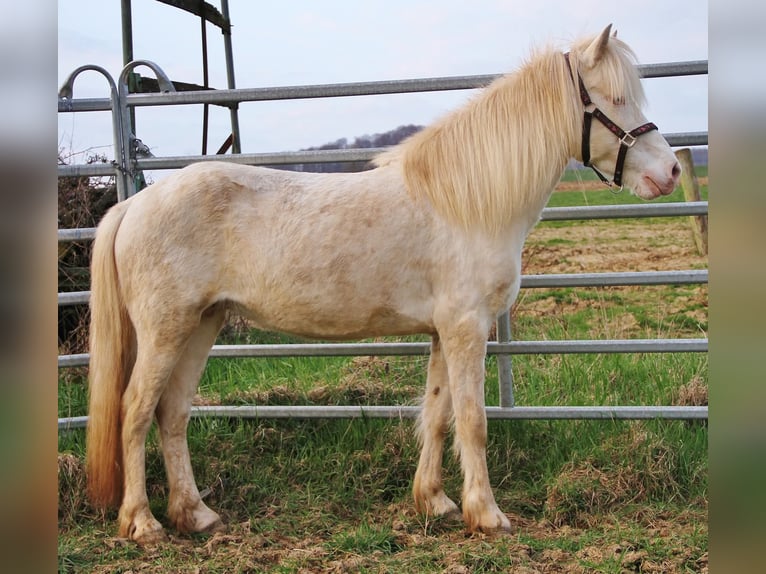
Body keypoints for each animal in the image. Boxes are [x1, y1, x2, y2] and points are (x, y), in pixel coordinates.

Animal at [86, 25, 681, 545]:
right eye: (614, 99)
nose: (672, 172)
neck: (465, 203)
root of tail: (135, 204)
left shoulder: (444, 332)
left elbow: (437, 414)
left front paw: (435, 502)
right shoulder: (467, 328)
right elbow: (473, 421)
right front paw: (487, 516)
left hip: (202, 325)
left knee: (173, 412)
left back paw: (195, 514)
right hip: (166, 329)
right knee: (135, 411)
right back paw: (142, 523)